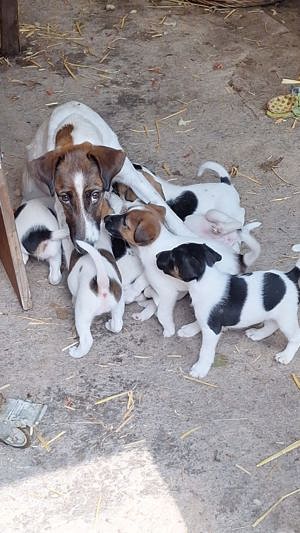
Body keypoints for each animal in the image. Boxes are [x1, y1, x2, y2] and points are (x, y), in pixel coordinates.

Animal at [104, 204, 256, 336]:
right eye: (123, 212)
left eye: (125, 223)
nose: (105, 218)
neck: (154, 246)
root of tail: (239, 259)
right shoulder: (151, 274)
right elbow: (141, 281)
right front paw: (132, 294)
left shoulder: (167, 292)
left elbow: (162, 311)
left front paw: (168, 328)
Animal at [156, 243, 300, 376]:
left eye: (172, 256)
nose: (156, 255)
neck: (205, 280)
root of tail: (290, 277)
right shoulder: (207, 319)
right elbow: (199, 321)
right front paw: (190, 329)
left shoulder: (212, 331)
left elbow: (205, 351)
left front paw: (200, 368)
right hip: (273, 312)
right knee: (271, 325)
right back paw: (258, 334)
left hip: (286, 319)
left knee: (295, 337)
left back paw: (285, 356)